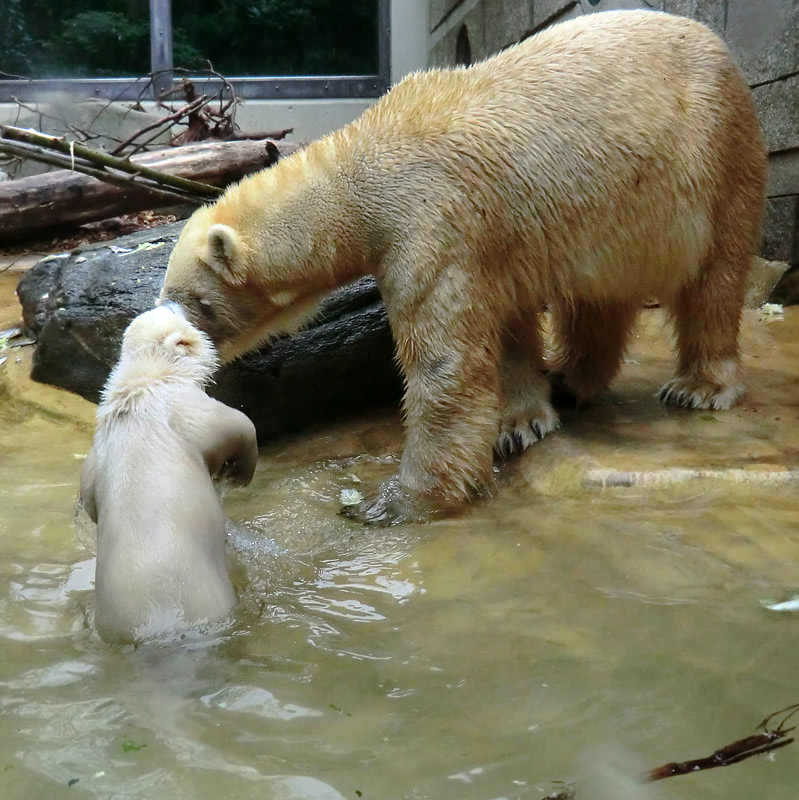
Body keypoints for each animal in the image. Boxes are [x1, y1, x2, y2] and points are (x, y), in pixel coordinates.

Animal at [159, 12, 764, 528]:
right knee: (598, 295)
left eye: (194, 300)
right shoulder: (496, 239)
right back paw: (572, 379)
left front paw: (394, 503)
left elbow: (445, 364)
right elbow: (506, 326)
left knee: (715, 278)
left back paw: (700, 387)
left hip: (716, 155)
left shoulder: (433, 222)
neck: (365, 170)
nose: (168, 331)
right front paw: (521, 421)